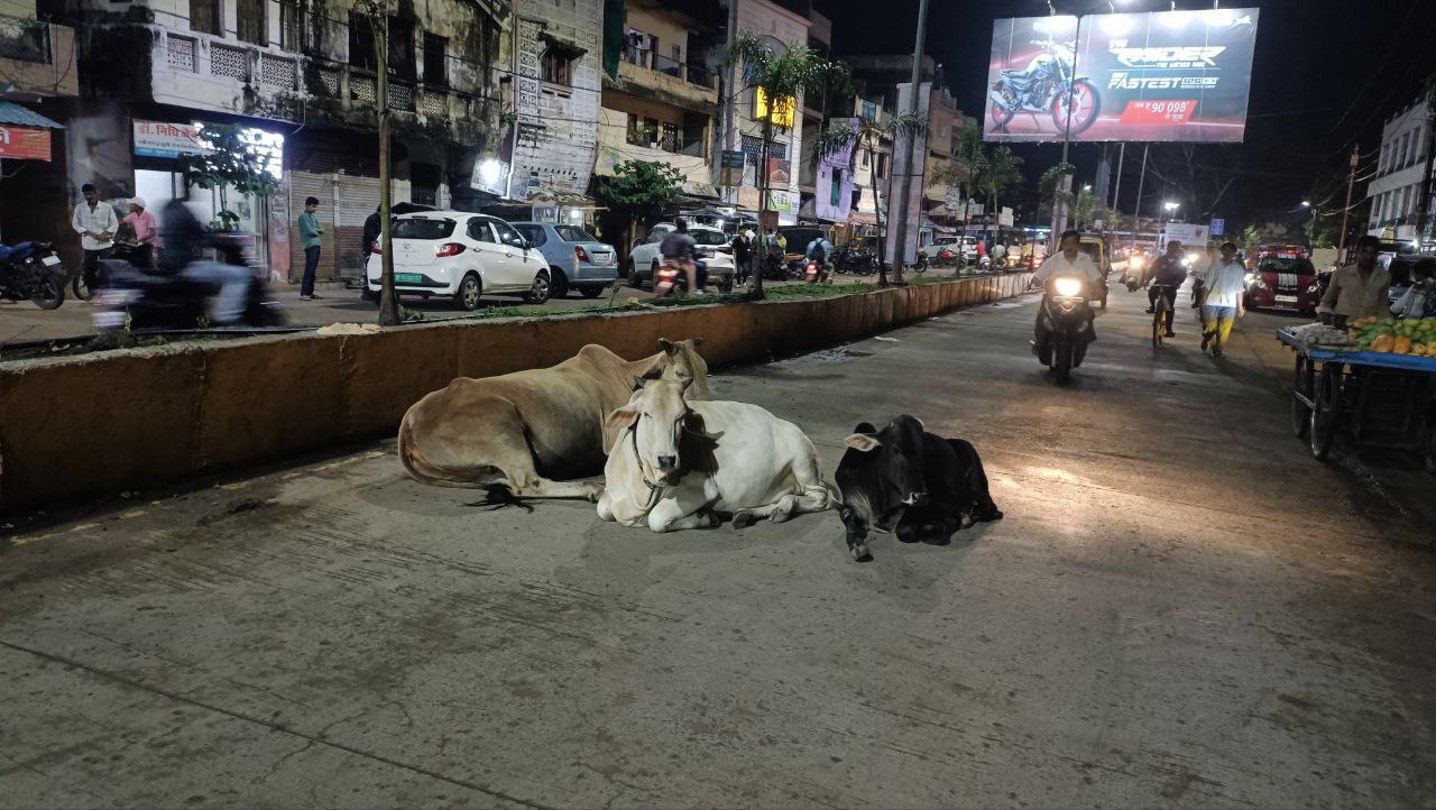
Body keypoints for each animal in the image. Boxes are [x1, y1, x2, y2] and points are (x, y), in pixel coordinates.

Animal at [398, 338, 709, 501]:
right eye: (681, 374)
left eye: (704, 370)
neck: (626, 375)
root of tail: (412, 417)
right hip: (502, 427)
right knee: (527, 483)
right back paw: (591, 488)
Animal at [599, 378, 834, 532]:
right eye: (646, 414)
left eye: (681, 417)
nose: (667, 459)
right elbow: (603, 509)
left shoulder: (702, 489)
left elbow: (656, 518)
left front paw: (704, 518)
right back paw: (748, 513)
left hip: (803, 462)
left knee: (822, 498)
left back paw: (784, 508)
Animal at [834, 415, 1003, 562]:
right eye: (896, 450)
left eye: (923, 451)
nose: (919, 496)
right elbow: (845, 512)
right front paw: (857, 545)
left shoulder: (945, 502)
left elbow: (904, 530)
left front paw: (940, 524)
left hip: (978, 483)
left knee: (990, 510)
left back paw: (966, 515)